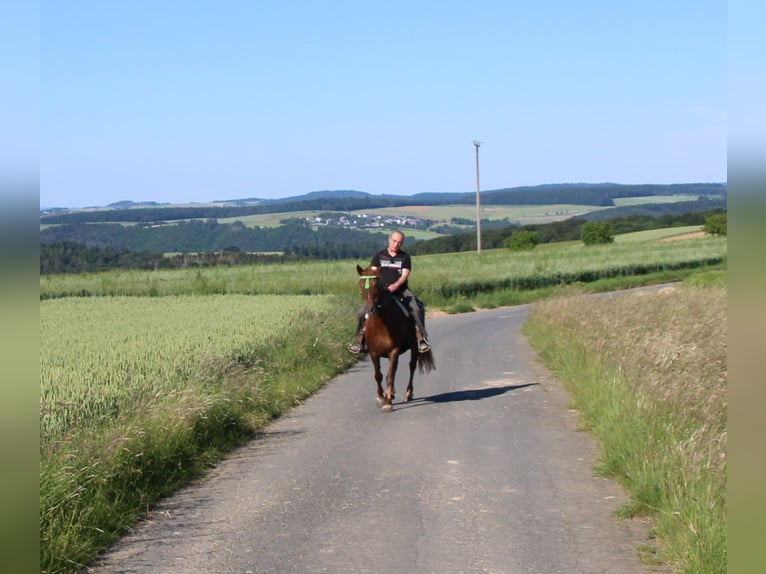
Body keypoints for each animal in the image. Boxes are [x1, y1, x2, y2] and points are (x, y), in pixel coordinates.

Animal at [356, 266, 436, 414]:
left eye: (376, 285)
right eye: (361, 285)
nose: (370, 310)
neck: (382, 324)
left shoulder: (394, 350)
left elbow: (389, 376)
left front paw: (387, 403)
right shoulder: (373, 352)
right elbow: (378, 375)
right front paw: (381, 398)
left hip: (414, 348)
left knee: (411, 367)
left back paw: (407, 394)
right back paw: (391, 393)